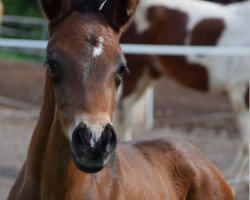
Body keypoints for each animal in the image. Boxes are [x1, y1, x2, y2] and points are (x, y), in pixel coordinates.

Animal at [117, 0, 250, 181]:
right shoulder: (241, 93)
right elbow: (246, 142)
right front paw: (233, 176)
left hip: (147, 74)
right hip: (135, 72)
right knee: (122, 116)